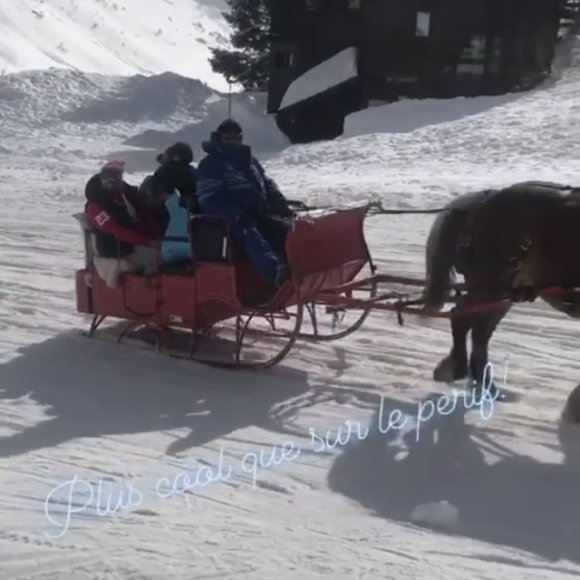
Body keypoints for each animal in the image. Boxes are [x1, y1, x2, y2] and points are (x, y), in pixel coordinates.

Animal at [420, 181, 580, 396]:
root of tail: (478, 202)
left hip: (502, 293)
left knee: (480, 333)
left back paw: (484, 384)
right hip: (489, 286)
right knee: (462, 320)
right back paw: (460, 370)